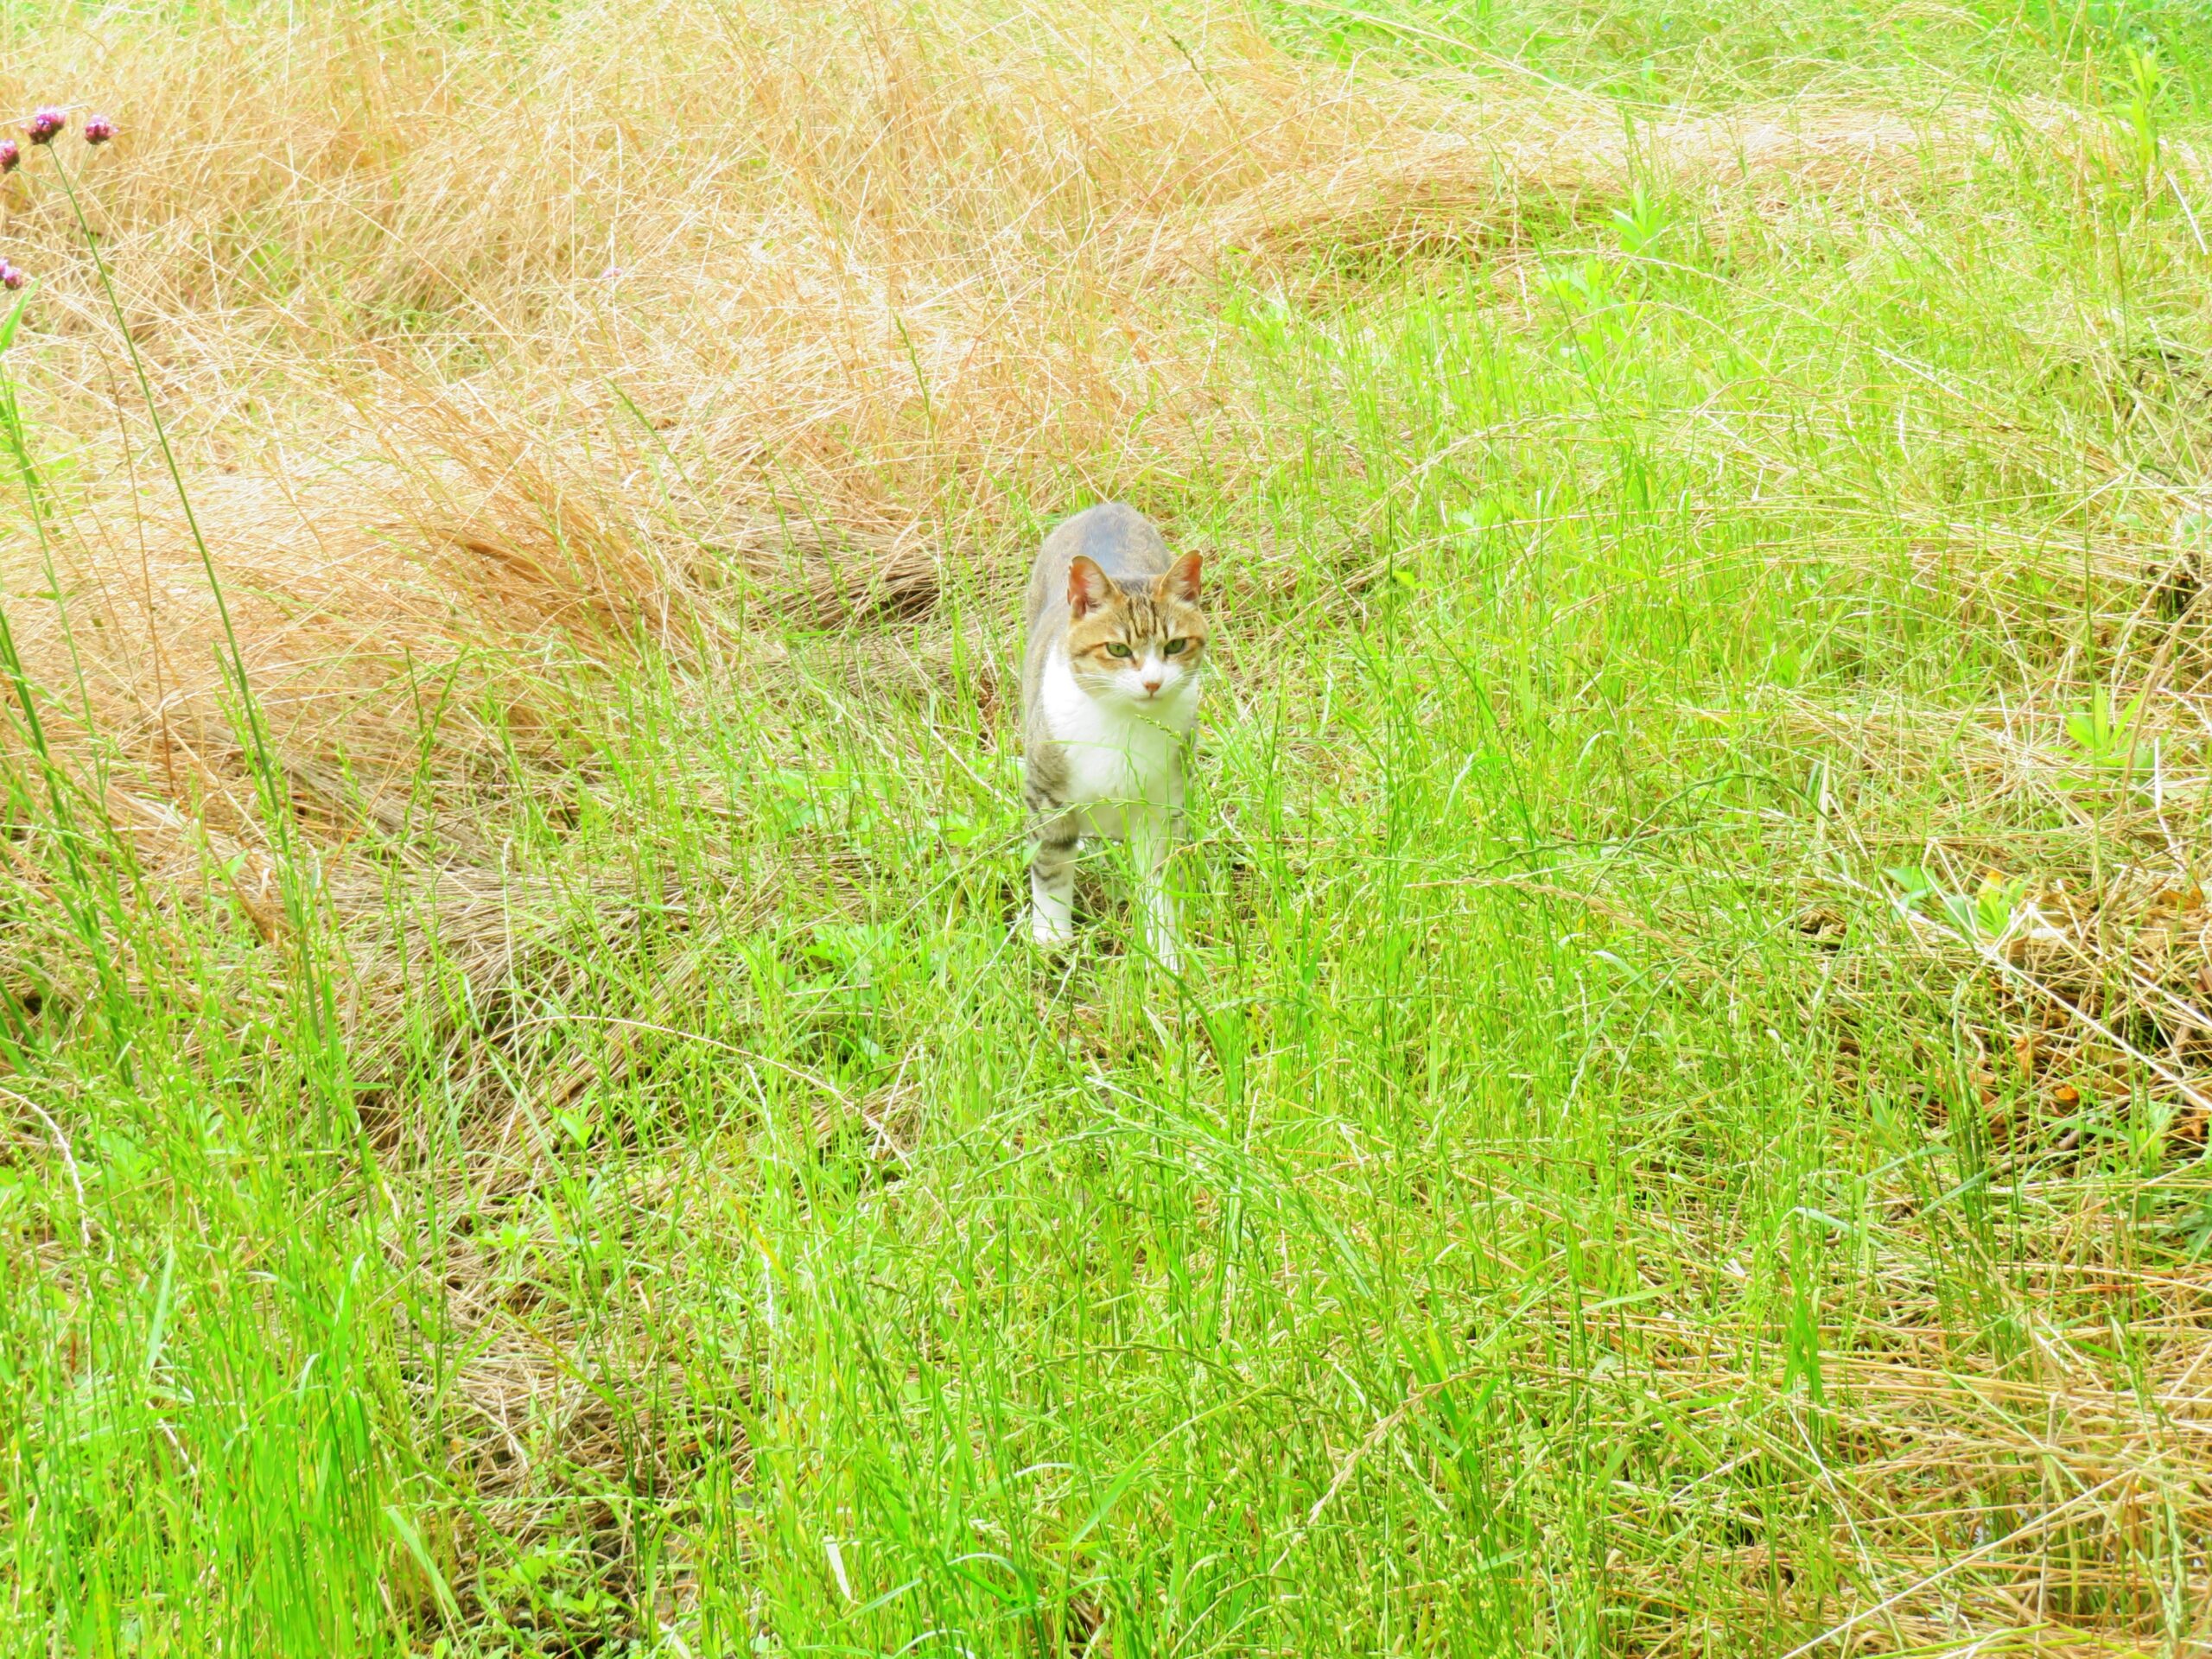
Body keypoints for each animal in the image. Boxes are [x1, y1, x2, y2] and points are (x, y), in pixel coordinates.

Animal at [1017, 506, 1211, 973]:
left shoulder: (1160, 804)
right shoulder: (1047, 796)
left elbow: (1157, 881)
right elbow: (1050, 865)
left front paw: (1163, 953)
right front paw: (1051, 938)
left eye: (1175, 645)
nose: (1153, 682)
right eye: (1118, 650)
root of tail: (1109, 507)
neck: (1123, 723)